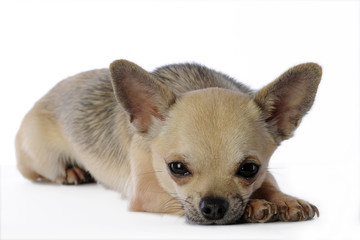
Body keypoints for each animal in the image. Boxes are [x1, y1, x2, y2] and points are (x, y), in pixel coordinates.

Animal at [15, 59, 322, 224]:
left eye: (249, 169)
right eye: (177, 168)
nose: (213, 206)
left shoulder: (264, 173)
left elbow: (270, 183)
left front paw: (286, 200)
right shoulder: (147, 193)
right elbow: (178, 200)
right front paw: (255, 206)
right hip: (42, 159)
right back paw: (73, 172)